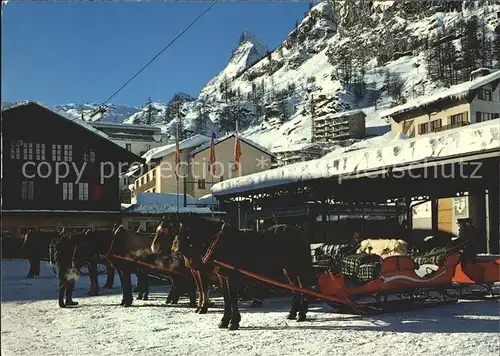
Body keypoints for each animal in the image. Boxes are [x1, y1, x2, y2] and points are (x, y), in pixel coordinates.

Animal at [170, 214, 314, 330]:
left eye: (185, 230)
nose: (177, 250)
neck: (220, 242)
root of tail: (300, 233)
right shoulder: (222, 276)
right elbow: (226, 297)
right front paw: (224, 320)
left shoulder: (231, 276)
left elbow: (233, 297)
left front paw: (233, 322)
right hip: (288, 269)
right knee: (296, 288)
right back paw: (293, 313)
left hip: (298, 267)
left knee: (303, 287)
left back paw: (301, 314)